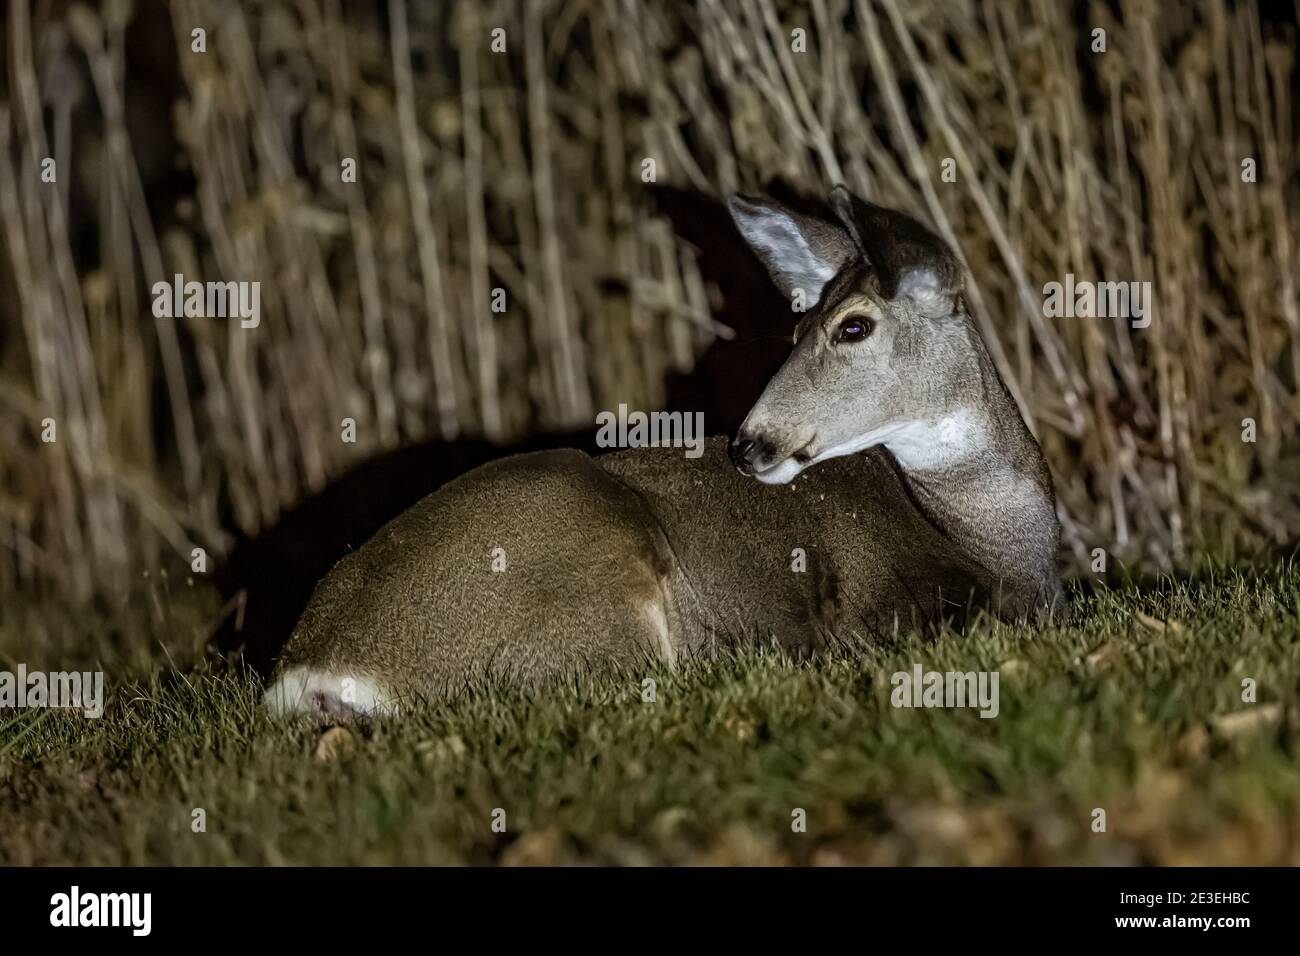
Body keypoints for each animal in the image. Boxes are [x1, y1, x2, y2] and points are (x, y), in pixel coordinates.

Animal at [261, 184, 1055, 717]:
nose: (748, 444)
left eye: (851, 326)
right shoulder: (874, 596)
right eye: (798, 330)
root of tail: (314, 669)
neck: (988, 540)